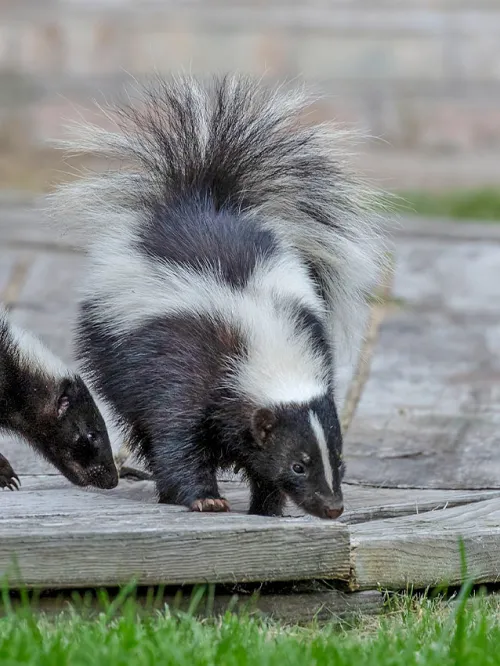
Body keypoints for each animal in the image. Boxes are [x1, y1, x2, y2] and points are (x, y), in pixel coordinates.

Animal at [51, 74, 386, 520]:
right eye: (298, 464)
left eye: (339, 459)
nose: (332, 507)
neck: (261, 332)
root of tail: (202, 198)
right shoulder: (186, 370)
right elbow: (177, 437)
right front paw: (205, 498)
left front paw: (267, 506)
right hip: (110, 342)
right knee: (139, 423)